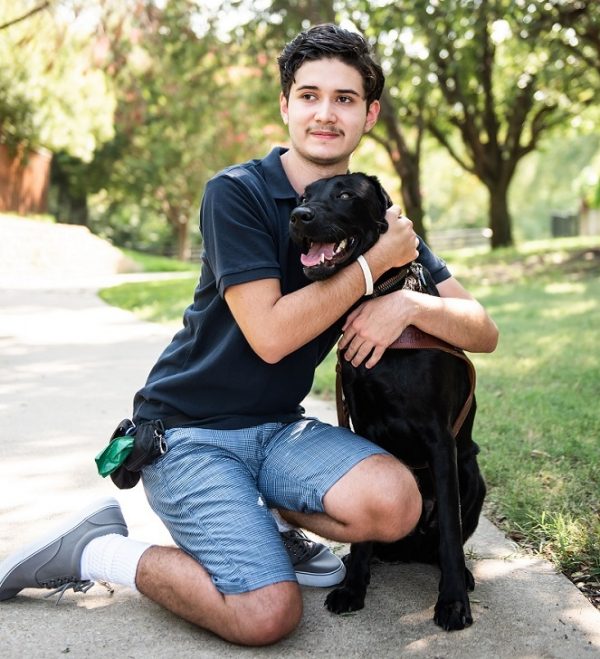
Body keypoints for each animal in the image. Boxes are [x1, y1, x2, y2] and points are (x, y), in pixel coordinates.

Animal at [288, 173, 486, 632]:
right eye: (305, 195)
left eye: (346, 194)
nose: (298, 216)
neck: (378, 297)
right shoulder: (365, 428)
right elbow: (363, 531)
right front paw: (353, 587)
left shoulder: (440, 442)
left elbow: (451, 532)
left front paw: (452, 602)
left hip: (472, 472)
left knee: (443, 539)